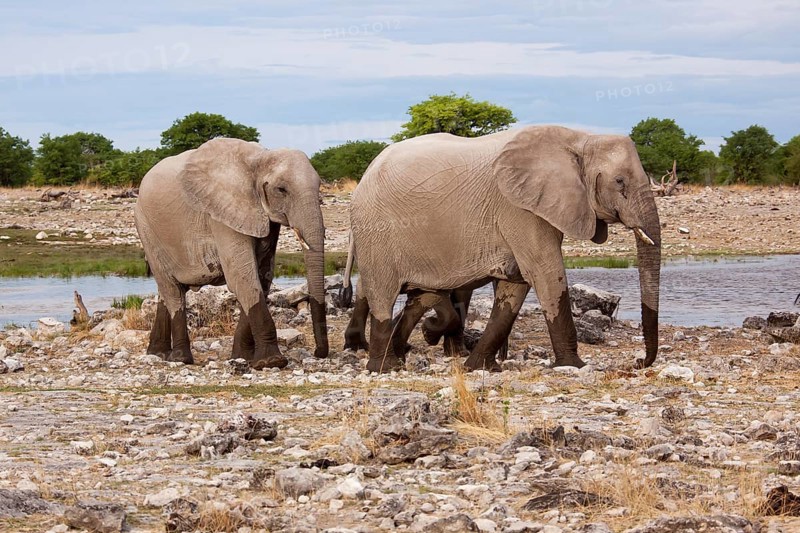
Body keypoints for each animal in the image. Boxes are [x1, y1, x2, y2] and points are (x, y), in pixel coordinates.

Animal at [134, 137, 329, 369]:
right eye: (282, 189)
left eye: (319, 187)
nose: (319, 353)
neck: (259, 159)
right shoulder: (221, 216)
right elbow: (242, 278)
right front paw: (272, 361)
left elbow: (262, 276)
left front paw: (242, 357)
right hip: (146, 228)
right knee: (171, 289)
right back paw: (180, 359)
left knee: (167, 291)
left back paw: (158, 354)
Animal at [346, 125, 661, 373]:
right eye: (619, 182)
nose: (639, 363)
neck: (580, 138)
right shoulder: (518, 208)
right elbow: (545, 273)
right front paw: (574, 366)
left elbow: (516, 284)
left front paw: (479, 367)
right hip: (375, 232)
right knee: (382, 293)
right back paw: (384, 367)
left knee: (421, 294)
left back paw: (403, 353)